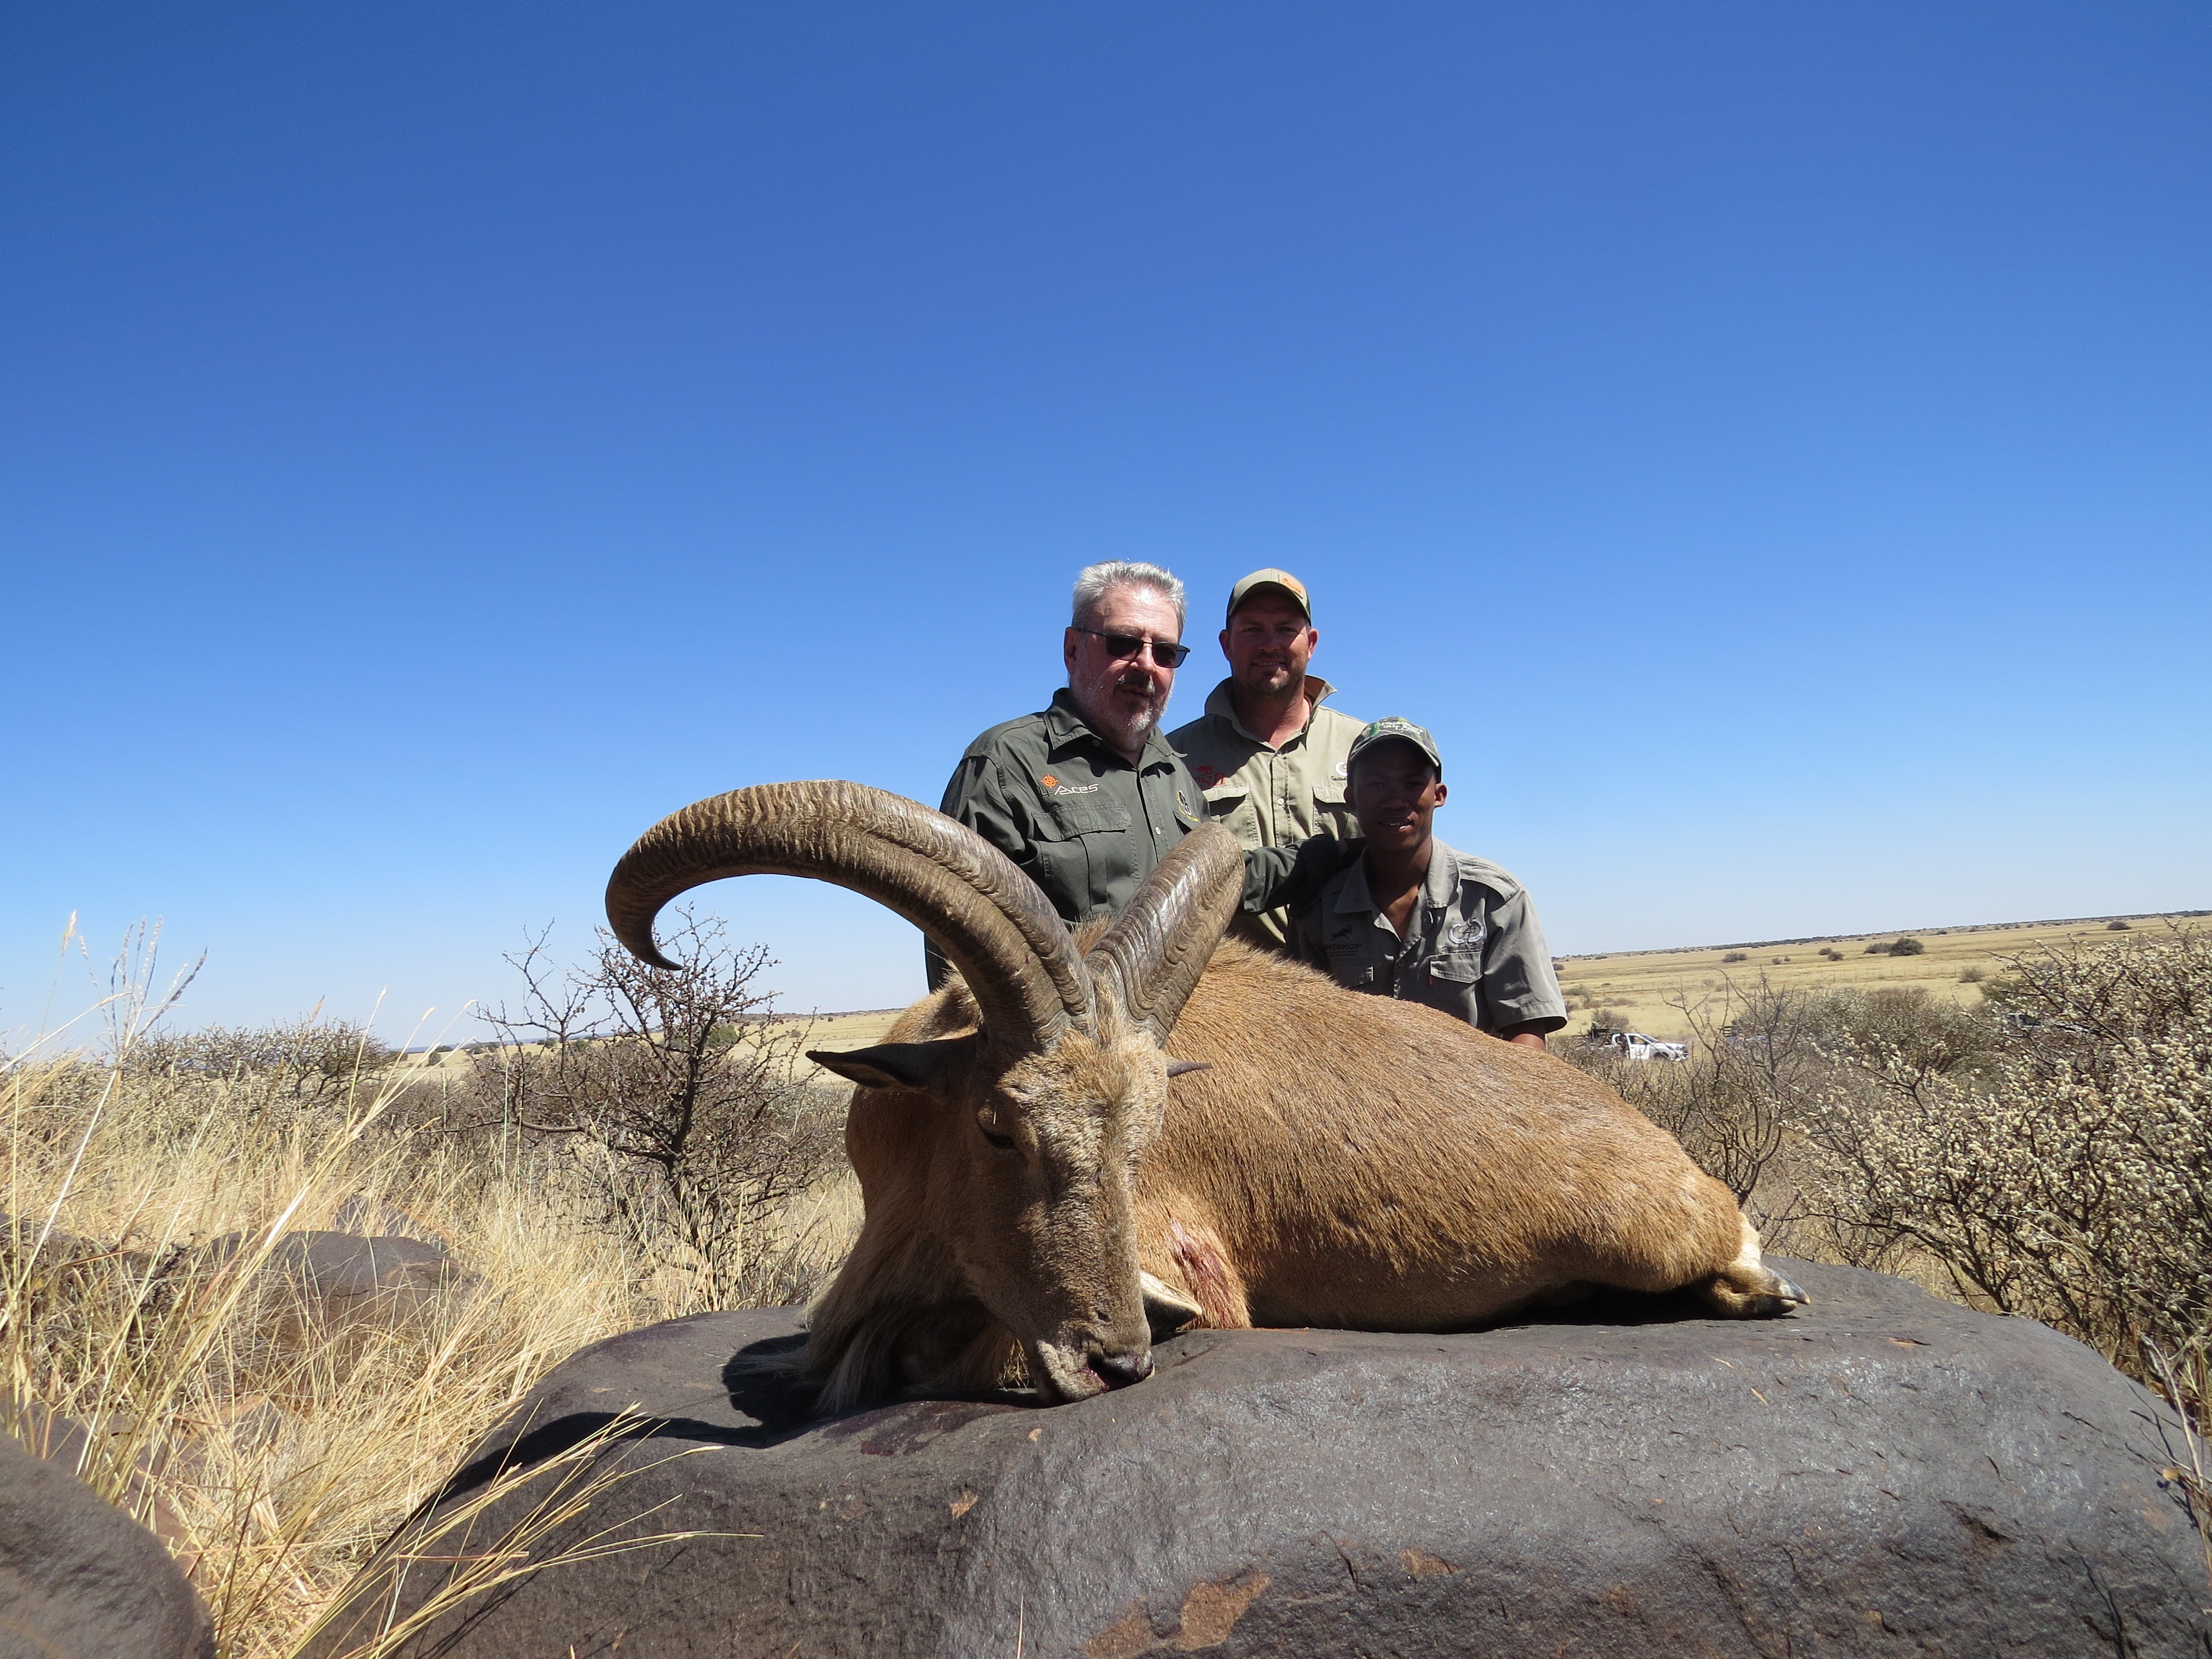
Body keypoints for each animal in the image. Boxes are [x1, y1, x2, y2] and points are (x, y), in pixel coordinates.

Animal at [606, 781, 1802, 1412]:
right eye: (996, 1125)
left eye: (1146, 1143)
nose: (1115, 1359)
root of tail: (1676, 1162)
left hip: (1663, 1232)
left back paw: (1764, 1289)